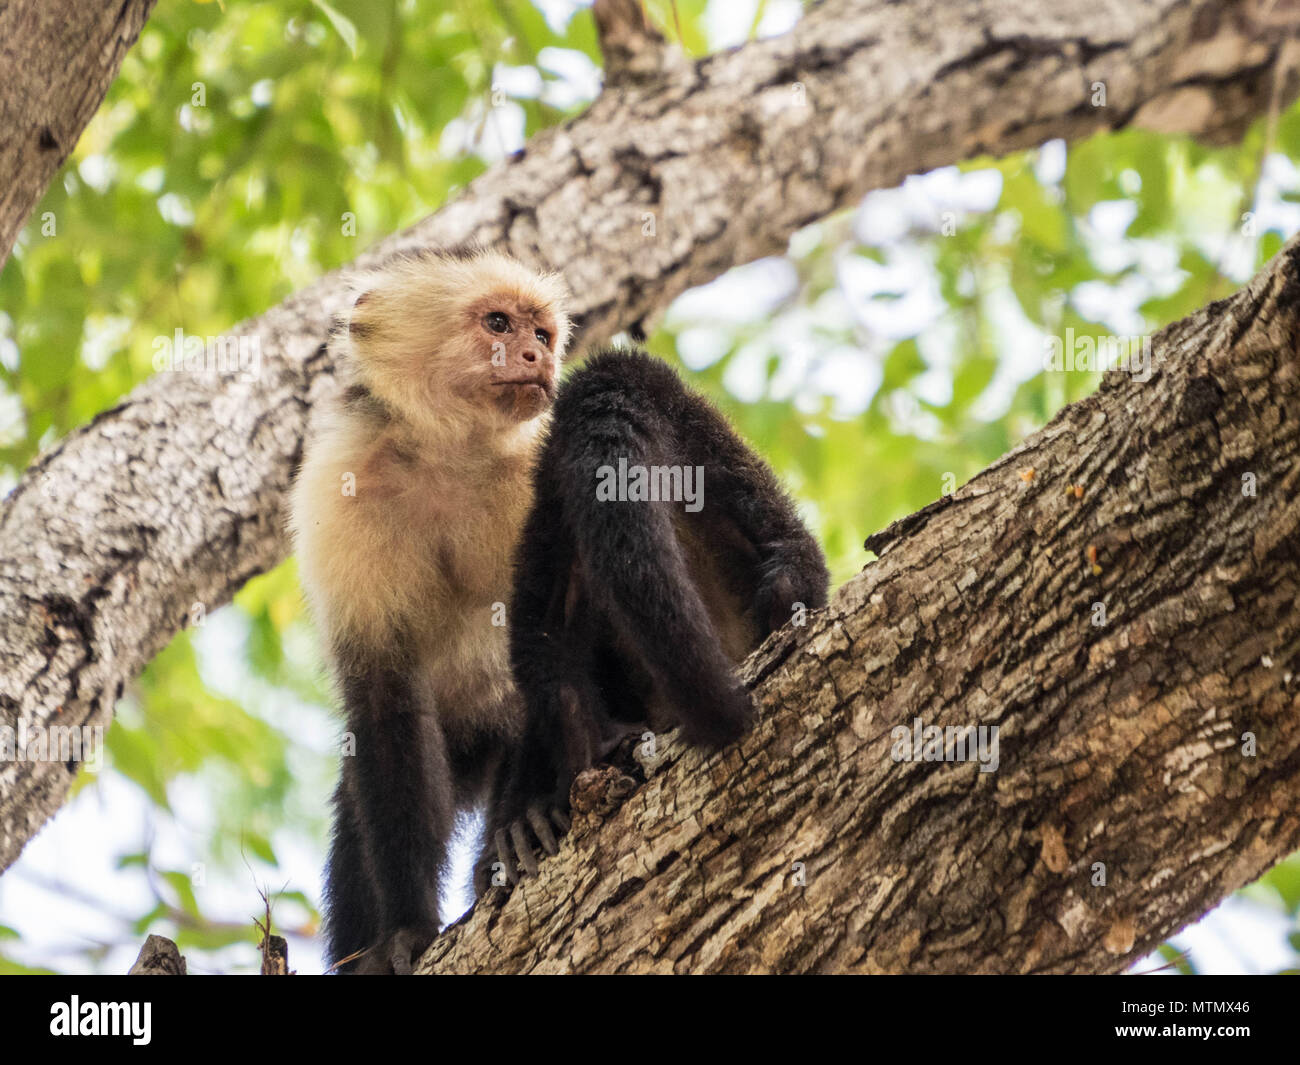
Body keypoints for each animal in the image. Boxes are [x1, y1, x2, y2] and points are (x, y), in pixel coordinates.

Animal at [292, 249, 572, 972]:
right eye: (498, 323)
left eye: (543, 333)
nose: (536, 353)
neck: (453, 455)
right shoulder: (340, 492)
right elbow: (384, 702)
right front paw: (406, 930)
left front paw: (522, 824)